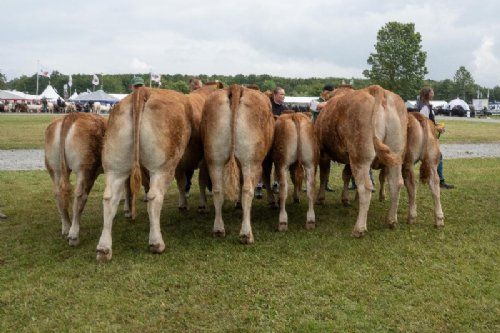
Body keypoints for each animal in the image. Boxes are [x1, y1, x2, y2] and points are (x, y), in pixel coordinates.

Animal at [45, 111, 107, 244]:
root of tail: (72, 115)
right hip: (84, 169)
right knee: (80, 195)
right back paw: (73, 234)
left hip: (54, 168)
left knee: (58, 193)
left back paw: (66, 227)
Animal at [96, 86, 193, 260]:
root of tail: (144, 90)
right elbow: (182, 183)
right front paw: (183, 204)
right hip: (162, 167)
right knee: (155, 198)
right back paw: (156, 243)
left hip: (115, 168)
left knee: (109, 199)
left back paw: (104, 249)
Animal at [201, 84, 276, 243]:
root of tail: (236, 87)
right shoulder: (264, 160)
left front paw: (237, 204)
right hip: (251, 161)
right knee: (248, 190)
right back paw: (246, 234)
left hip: (214, 159)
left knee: (218, 190)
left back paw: (218, 229)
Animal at [314, 85, 408, 236]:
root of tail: (376, 90)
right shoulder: (348, 157)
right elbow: (346, 175)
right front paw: (347, 199)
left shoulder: (324, 153)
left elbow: (324, 176)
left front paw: (320, 198)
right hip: (395, 153)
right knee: (396, 183)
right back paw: (391, 220)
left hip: (359, 155)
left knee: (366, 186)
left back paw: (359, 228)